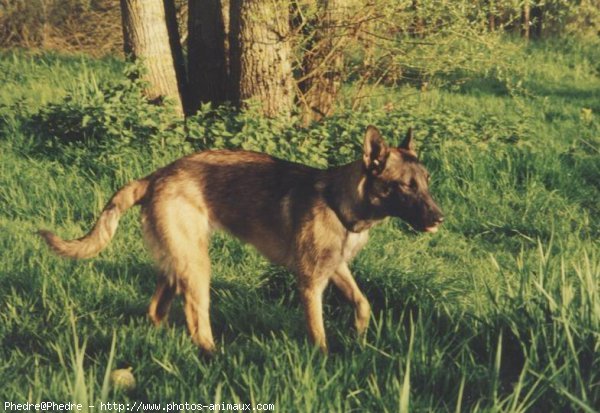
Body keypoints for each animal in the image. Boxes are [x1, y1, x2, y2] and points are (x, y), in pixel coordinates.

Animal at [37, 124, 440, 350]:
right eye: (406, 186)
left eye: (426, 183)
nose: (440, 217)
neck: (340, 201)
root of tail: (156, 176)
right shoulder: (311, 282)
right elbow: (318, 335)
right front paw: (325, 362)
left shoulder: (336, 269)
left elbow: (363, 303)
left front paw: (359, 335)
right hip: (197, 267)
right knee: (196, 319)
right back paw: (212, 356)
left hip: (178, 263)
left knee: (157, 309)